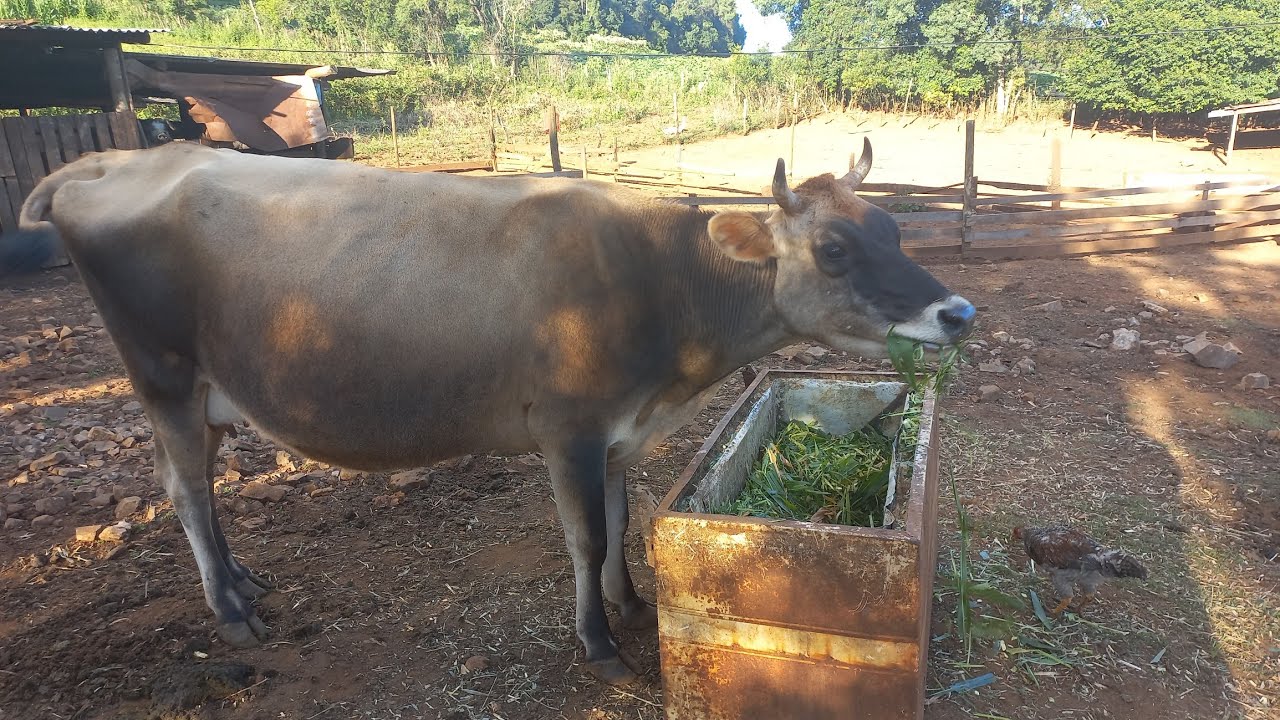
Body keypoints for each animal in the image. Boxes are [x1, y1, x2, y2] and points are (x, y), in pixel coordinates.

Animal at [0, 138, 974, 686]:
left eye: (892, 228)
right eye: (835, 248)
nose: (957, 312)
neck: (665, 290)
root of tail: (114, 161)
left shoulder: (618, 433)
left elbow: (621, 521)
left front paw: (629, 604)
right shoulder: (567, 426)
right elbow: (585, 536)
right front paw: (600, 645)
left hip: (205, 391)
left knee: (197, 475)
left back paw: (243, 582)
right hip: (160, 373)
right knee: (184, 488)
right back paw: (230, 612)